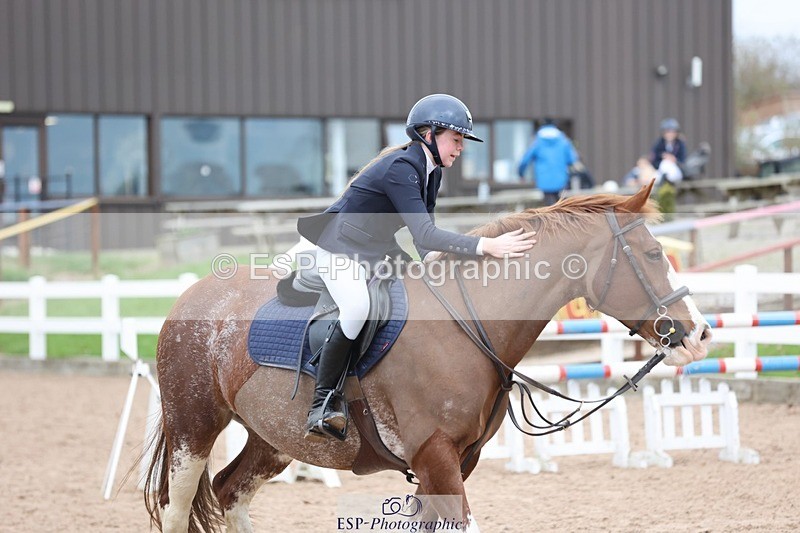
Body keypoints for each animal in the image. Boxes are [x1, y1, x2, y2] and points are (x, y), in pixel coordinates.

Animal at [143, 181, 711, 532]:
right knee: (177, 507)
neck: (470, 326)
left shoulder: (455, 462)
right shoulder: (434, 456)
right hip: (193, 427)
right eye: (654, 254)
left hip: (272, 440)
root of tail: (190, 298)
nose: (699, 334)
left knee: (230, 492)